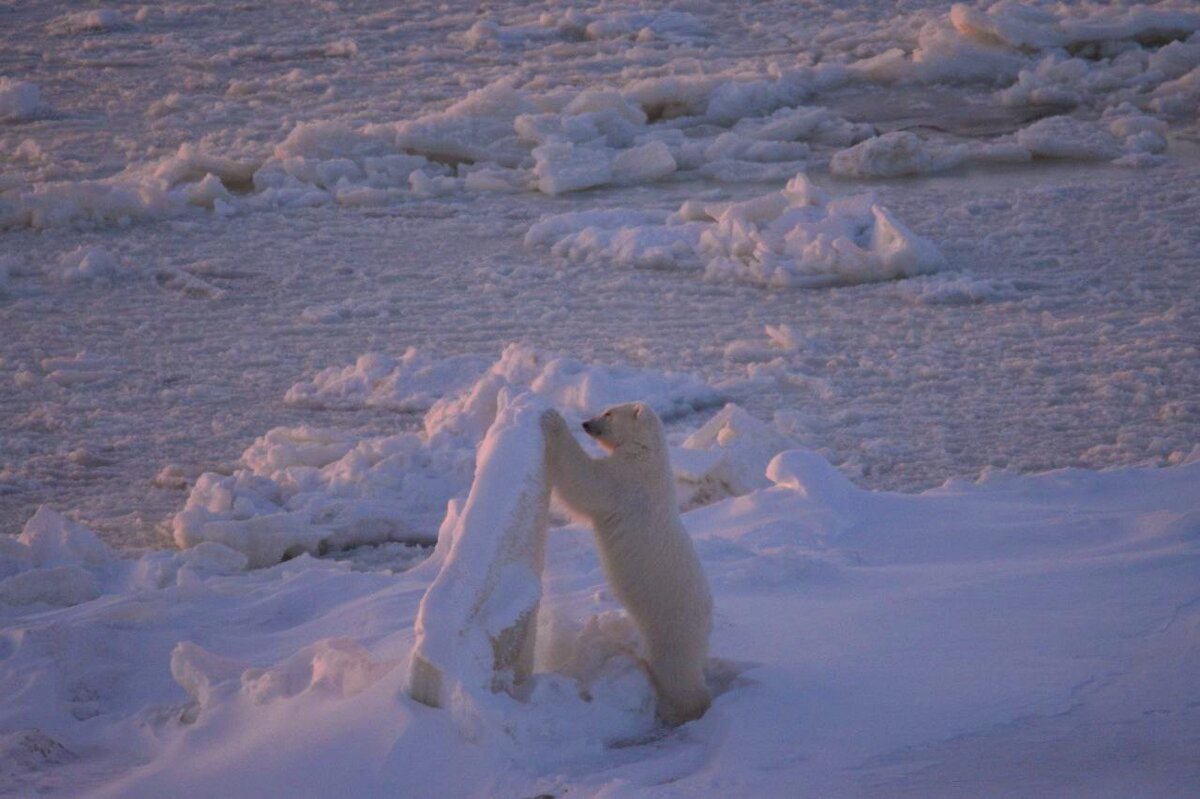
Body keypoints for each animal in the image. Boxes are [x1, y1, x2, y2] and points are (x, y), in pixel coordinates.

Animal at [542, 400, 710, 724]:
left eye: (608, 413)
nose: (585, 423)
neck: (648, 453)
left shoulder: (626, 479)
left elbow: (586, 482)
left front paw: (553, 421)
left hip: (671, 628)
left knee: (676, 674)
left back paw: (682, 709)